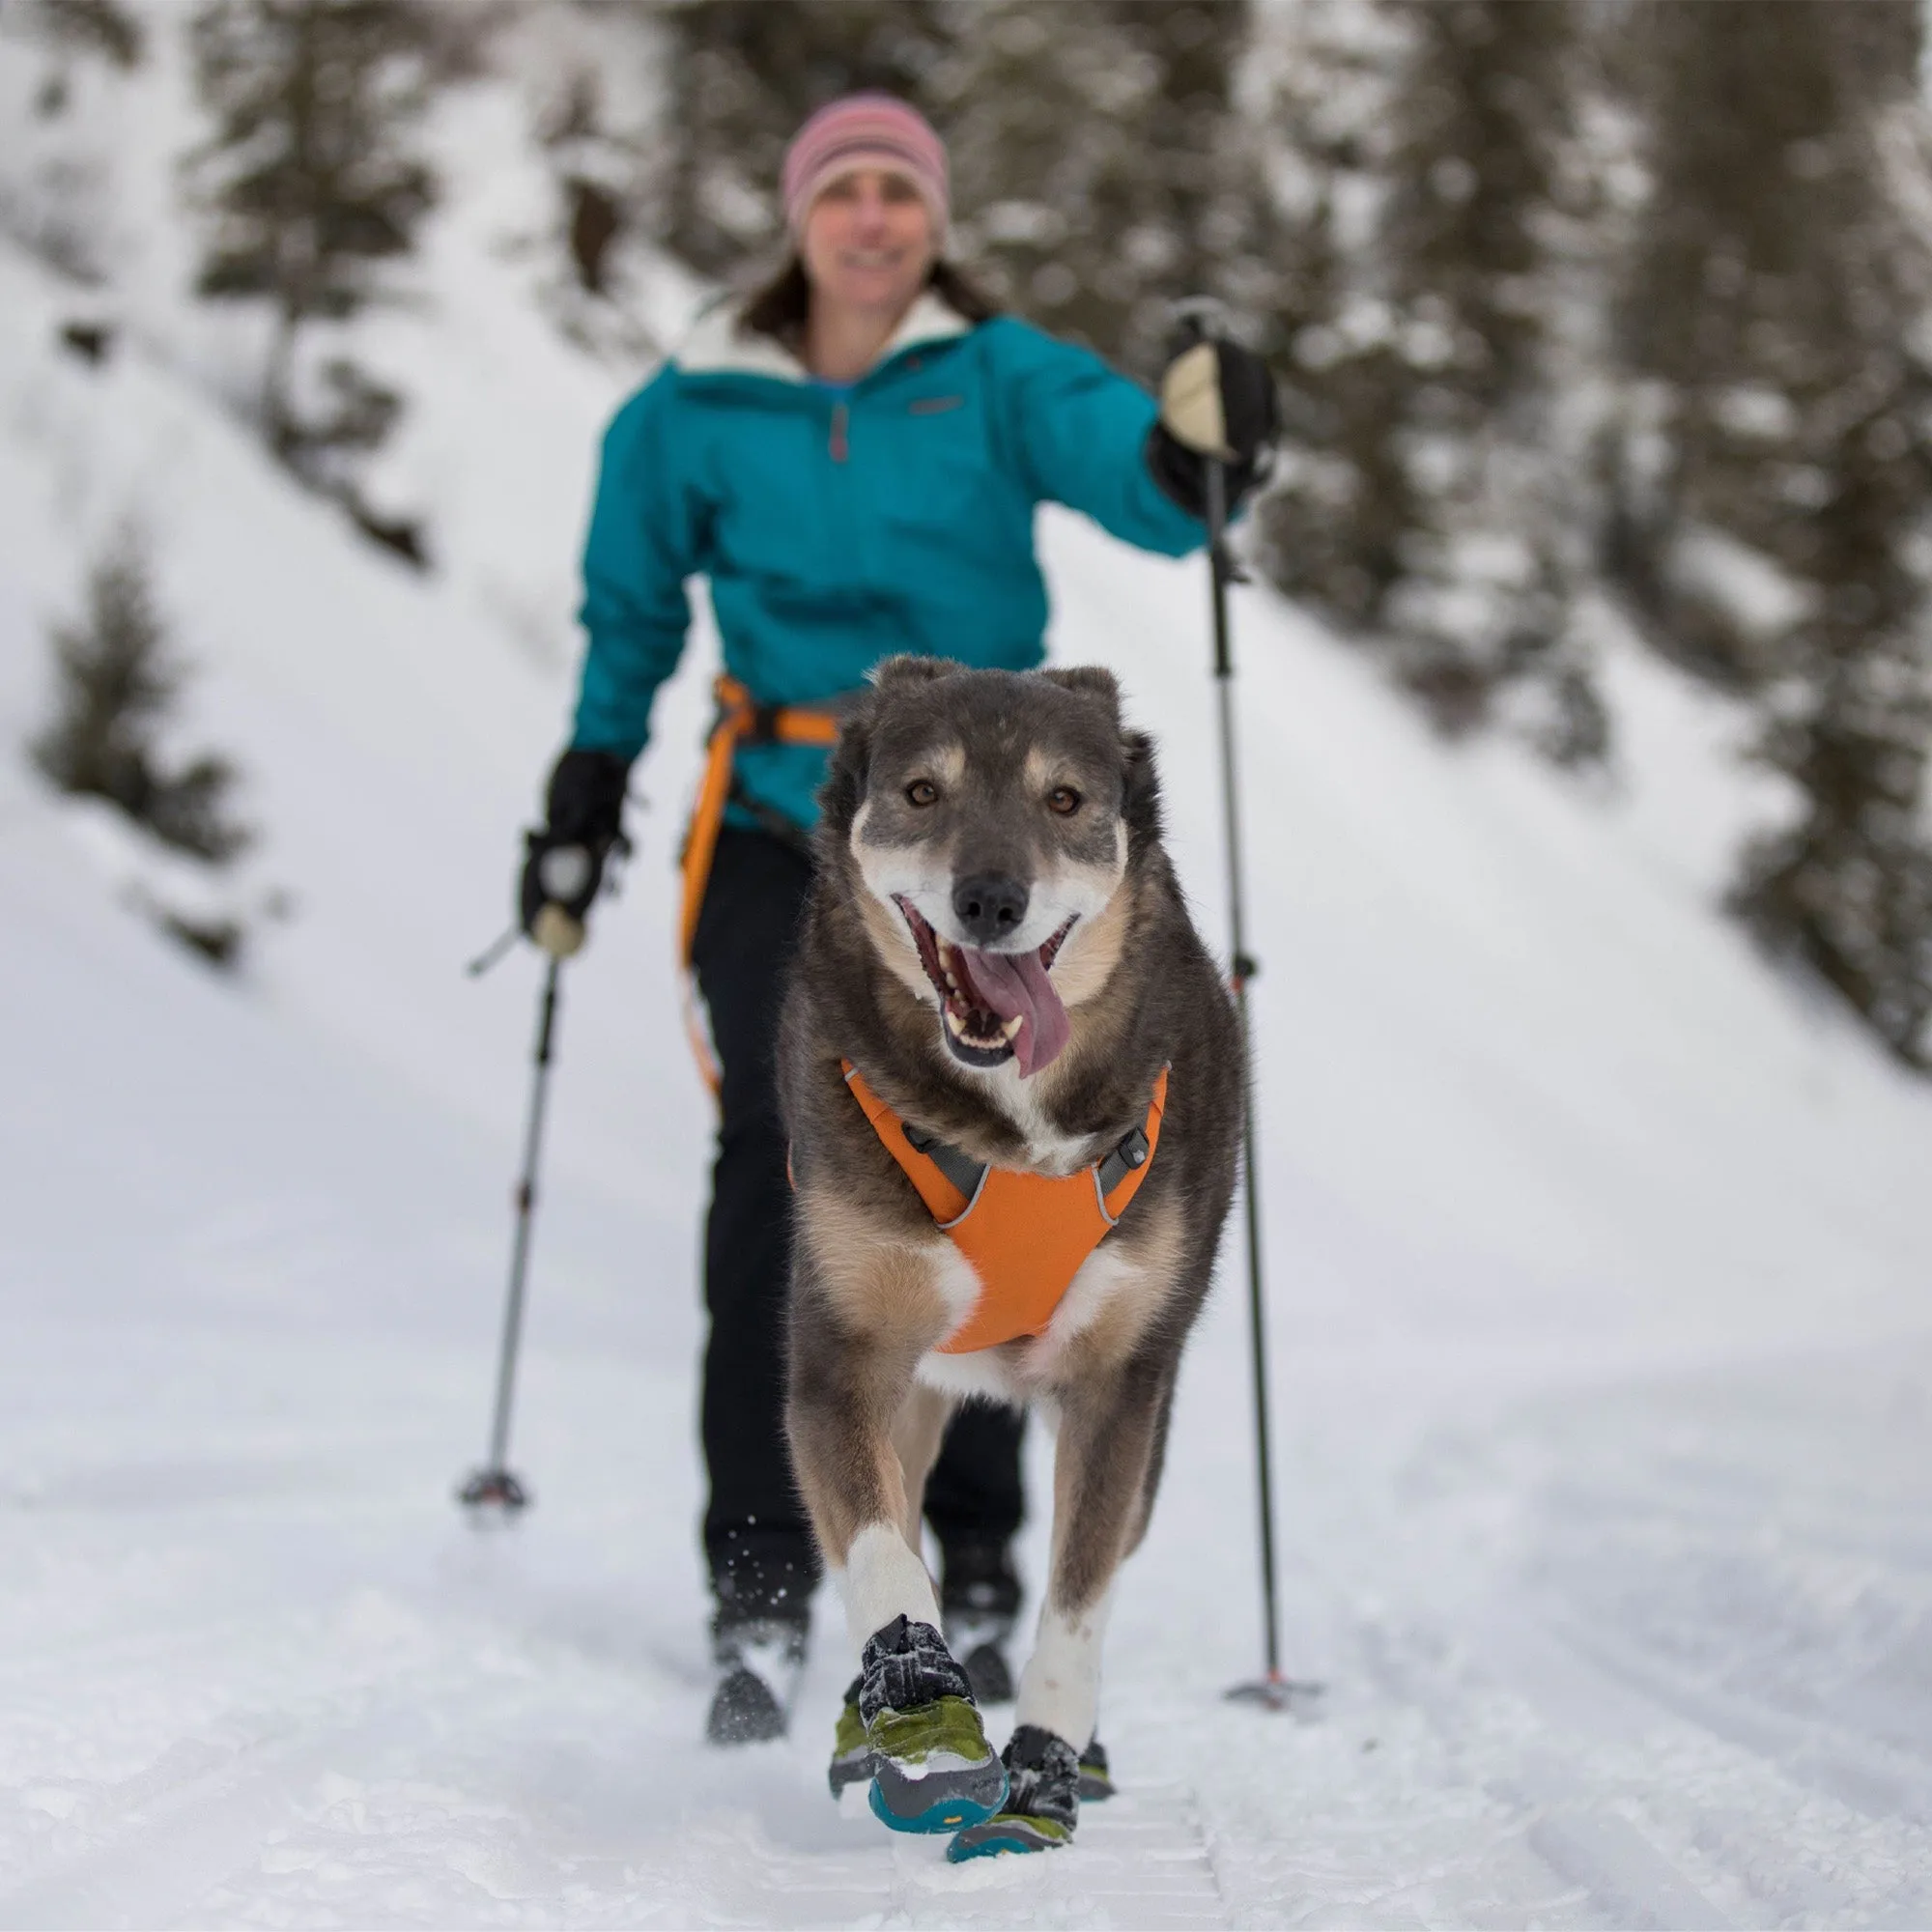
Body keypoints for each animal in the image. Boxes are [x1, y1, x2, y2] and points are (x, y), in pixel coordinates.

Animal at [781, 661, 1244, 1855]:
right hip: (912, 1387)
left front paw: (1040, 1773)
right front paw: (927, 1727)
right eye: (922, 791)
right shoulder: (844, 1357)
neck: (1010, 1132)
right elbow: (883, 1555)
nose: (990, 901)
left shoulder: (1119, 1388)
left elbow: (1075, 1606)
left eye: (1064, 800)